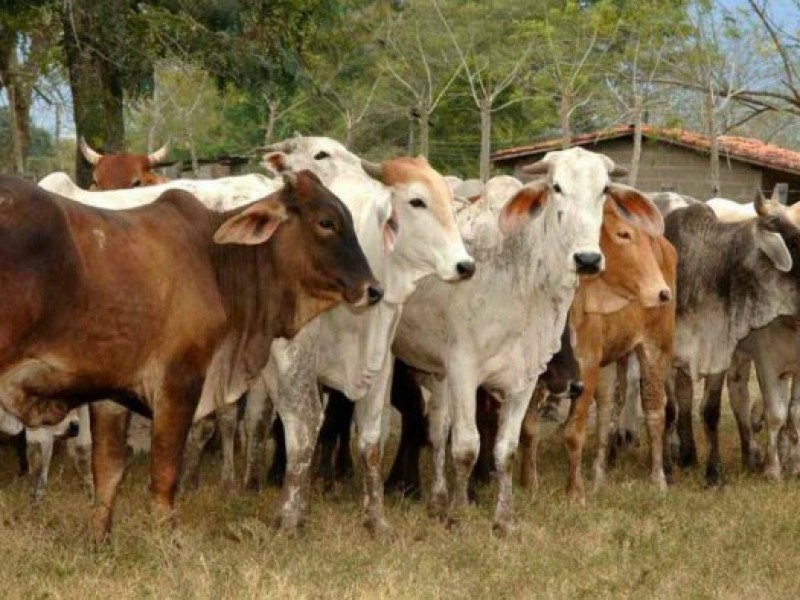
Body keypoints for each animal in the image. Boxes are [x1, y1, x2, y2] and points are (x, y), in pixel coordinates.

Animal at [392, 150, 664, 536]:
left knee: (438, 425)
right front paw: (462, 513)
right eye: (556, 187)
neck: (518, 285)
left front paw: (503, 519)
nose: (587, 259)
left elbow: (506, 448)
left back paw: (438, 498)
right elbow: (467, 446)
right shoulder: (463, 370)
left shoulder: (523, 378)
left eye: (605, 189)